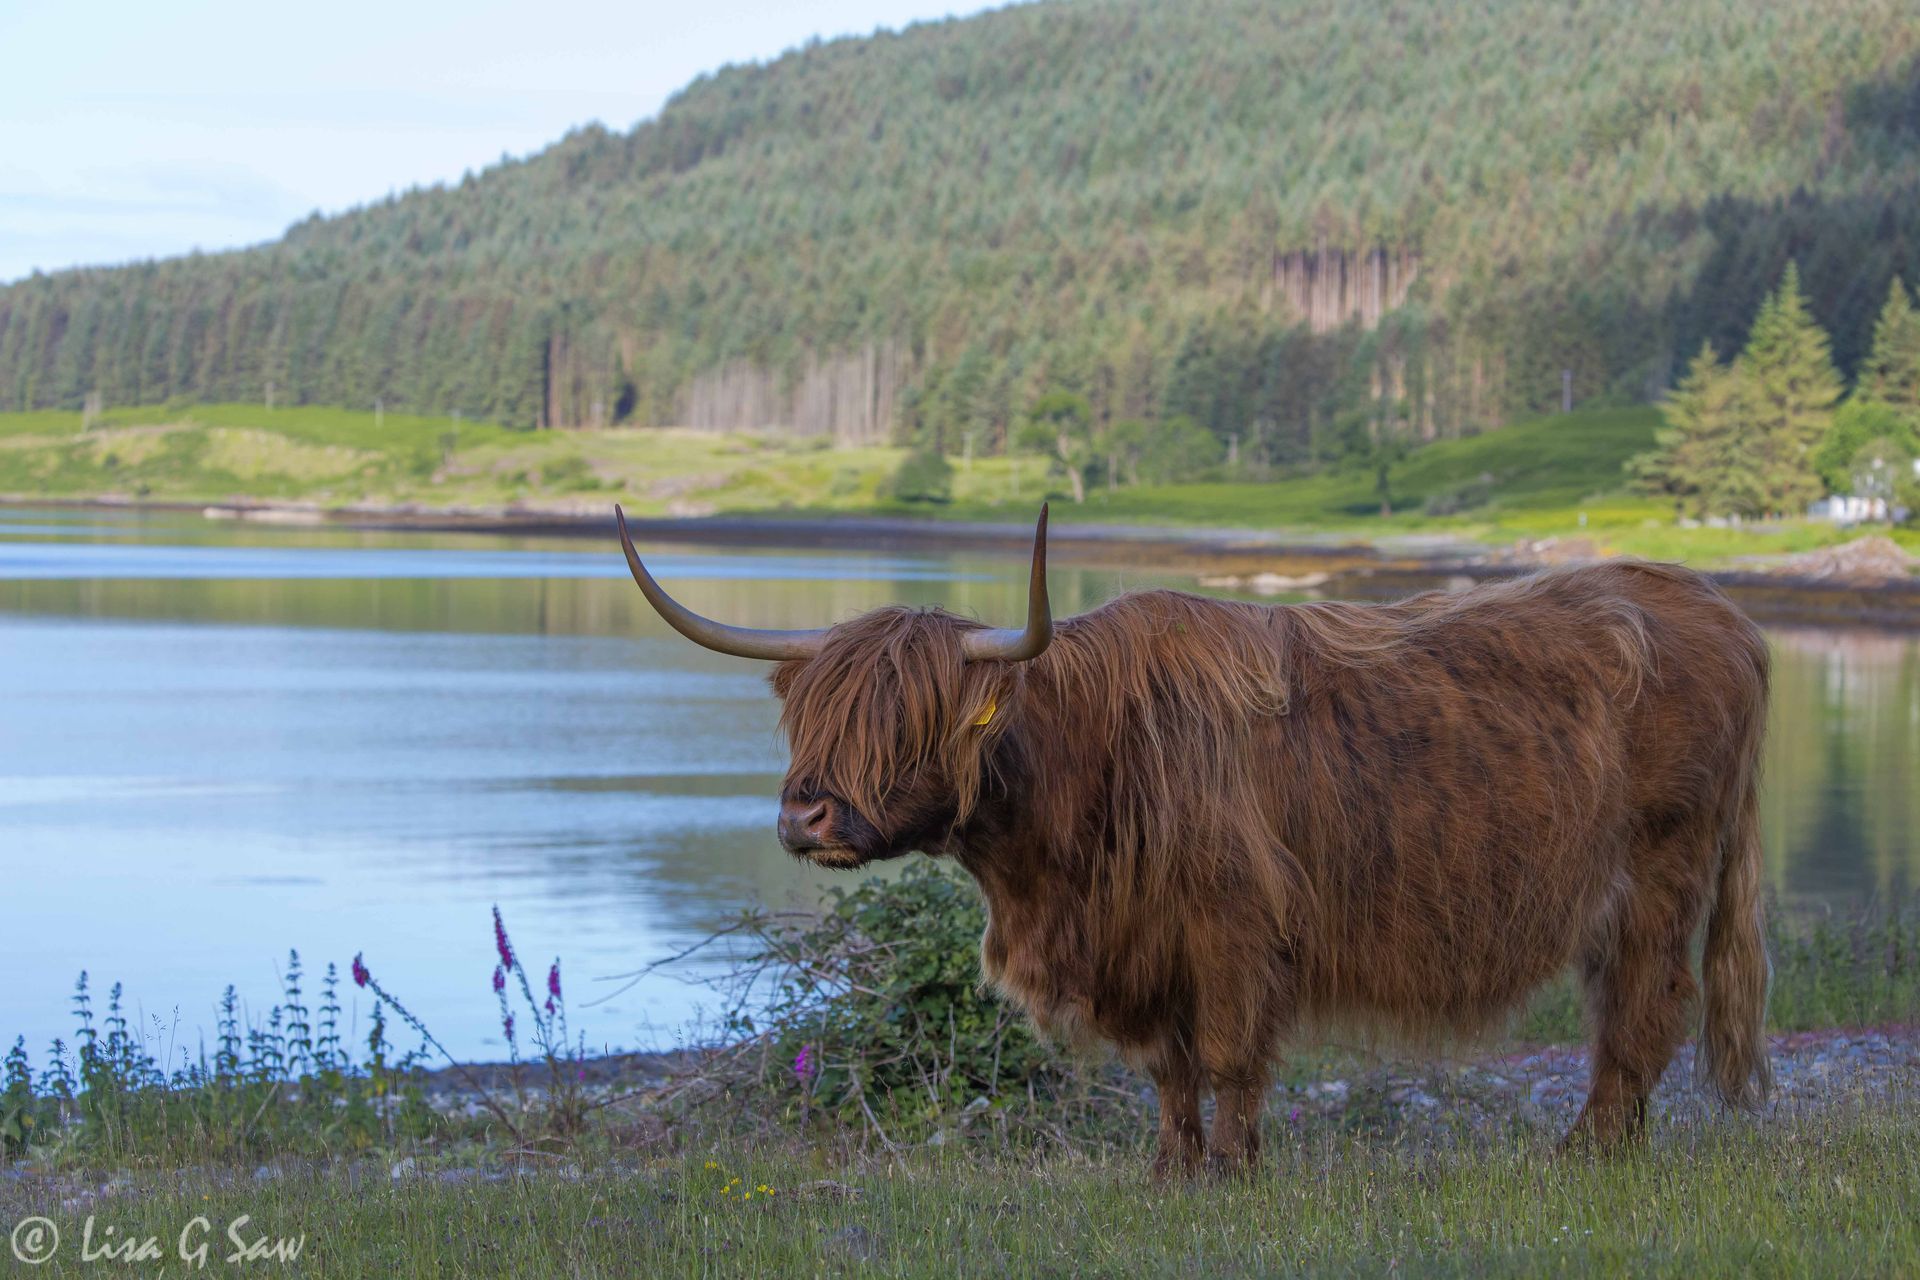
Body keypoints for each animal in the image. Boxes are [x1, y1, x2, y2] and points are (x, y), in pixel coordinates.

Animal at [614, 506, 1766, 1174]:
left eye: (909, 721)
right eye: (809, 719)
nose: (802, 815)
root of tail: (1715, 606)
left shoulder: (1233, 926)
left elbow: (1228, 1056)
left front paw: (1236, 1174)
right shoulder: (1139, 944)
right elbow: (1167, 1071)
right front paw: (1170, 1170)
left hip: (1659, 874)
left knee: (1646, 1008)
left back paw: (1591, 1150)